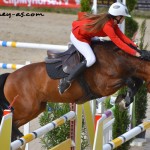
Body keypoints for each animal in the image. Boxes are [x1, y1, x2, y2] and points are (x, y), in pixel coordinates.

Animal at [0, 39, 150, 141]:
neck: (117, 59)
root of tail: (9, 77)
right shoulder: (104, 86)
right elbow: (129, 80)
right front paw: (123, 100)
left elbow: (136, 81)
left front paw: (124, 100)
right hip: (27, 108)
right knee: (8, 118)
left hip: (35, 109)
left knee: (14, 122)